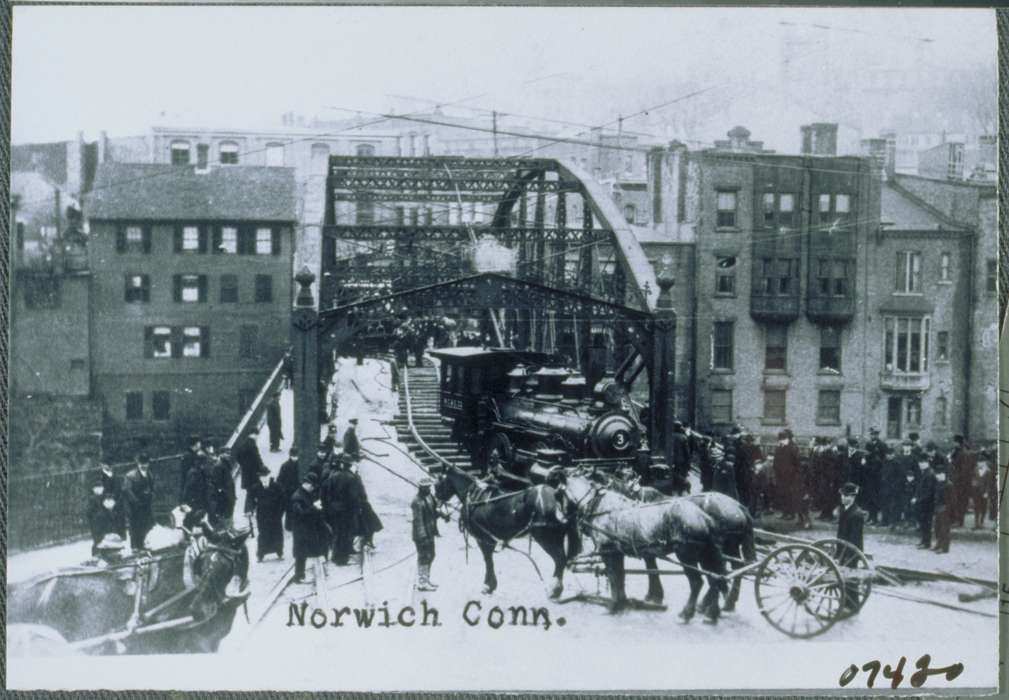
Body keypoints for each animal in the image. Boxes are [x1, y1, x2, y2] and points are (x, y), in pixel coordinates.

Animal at [433, 468, 577, 601]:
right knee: (562, 560)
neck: (474, 497)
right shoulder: (489, 539)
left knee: (559, 559)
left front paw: (488, 585)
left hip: (546, 538)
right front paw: (491, 584)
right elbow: (489, 560)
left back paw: (554, 590)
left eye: (438, 482)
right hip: (557, 537)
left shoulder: (483, 538)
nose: (436, 502)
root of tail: (557, 495)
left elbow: (488, 560)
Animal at [561, 468, 726, 621]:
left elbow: (613, 576)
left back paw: (687, 613)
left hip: (686, 555)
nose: (562, 519)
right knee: (715, 580)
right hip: (705, 555)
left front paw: (613, 605)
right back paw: (712, 613)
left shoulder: (608, 552)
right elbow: (620, 575)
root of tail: (705, 517)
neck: (599, 506)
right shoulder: (616, 552)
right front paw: (622, 601)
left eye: (559, 494)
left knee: (697, 582)